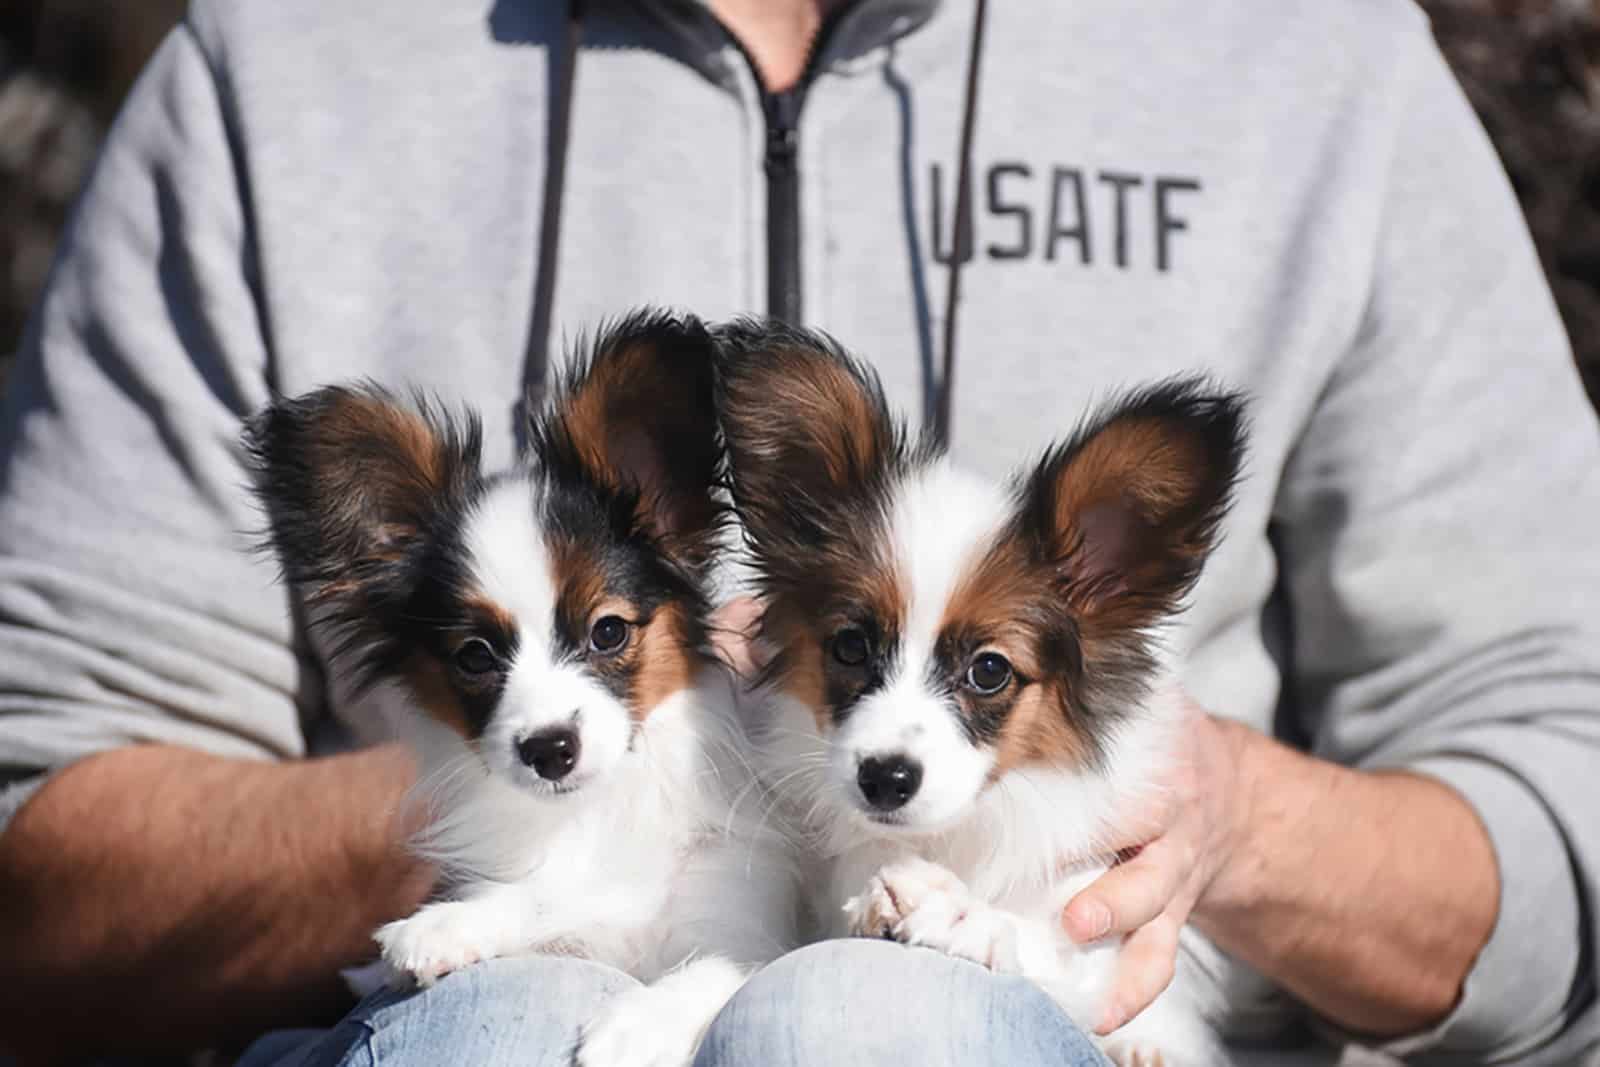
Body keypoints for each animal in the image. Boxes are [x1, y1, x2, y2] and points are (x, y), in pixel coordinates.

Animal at [246, 310, 796, 1067]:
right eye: (475, 657)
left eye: (608, 632)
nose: (550, 749)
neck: (597, 812)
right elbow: (544, 895)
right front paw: (450, 924)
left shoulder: (745, 921)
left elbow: (716, 968)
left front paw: (639, 1024)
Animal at [716, 321, 1248, 1067]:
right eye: (849, 646)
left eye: (990, 671)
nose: (885, 778)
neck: (948, 834)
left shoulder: (1094, 919)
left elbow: (1051, 945)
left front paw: (961, 912)